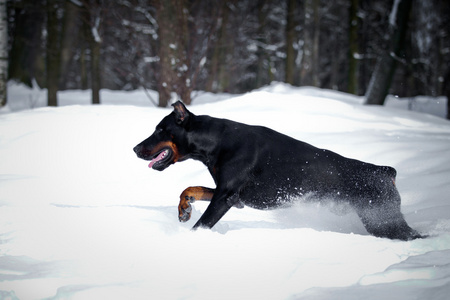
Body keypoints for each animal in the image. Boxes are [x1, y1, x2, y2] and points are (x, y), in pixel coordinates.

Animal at [133, 102, 422, 240]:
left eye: (160, 129)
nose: (135, 148)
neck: (218, 141)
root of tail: (386, 171)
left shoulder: (226, 197)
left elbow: (202, 225)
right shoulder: (232, 195)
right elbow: (189, 188)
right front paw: (184, 209)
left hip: (382, 218)